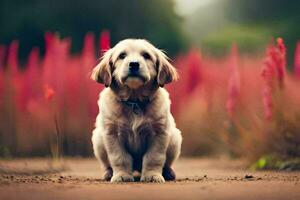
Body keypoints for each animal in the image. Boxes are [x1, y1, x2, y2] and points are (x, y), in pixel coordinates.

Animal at [90, 39, 182, 183]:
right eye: (122, 55)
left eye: (146, 55)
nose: (134, 64)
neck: (135, 102)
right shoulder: (112, 134)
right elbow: (119, 157)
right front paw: (122, 175)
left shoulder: (159, 133)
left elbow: (154, 157)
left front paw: (152, 175)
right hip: (98, 139)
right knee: (107, 164)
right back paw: (108, 173)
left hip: (175, 138)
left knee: (166, 163)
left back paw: (168, 173)